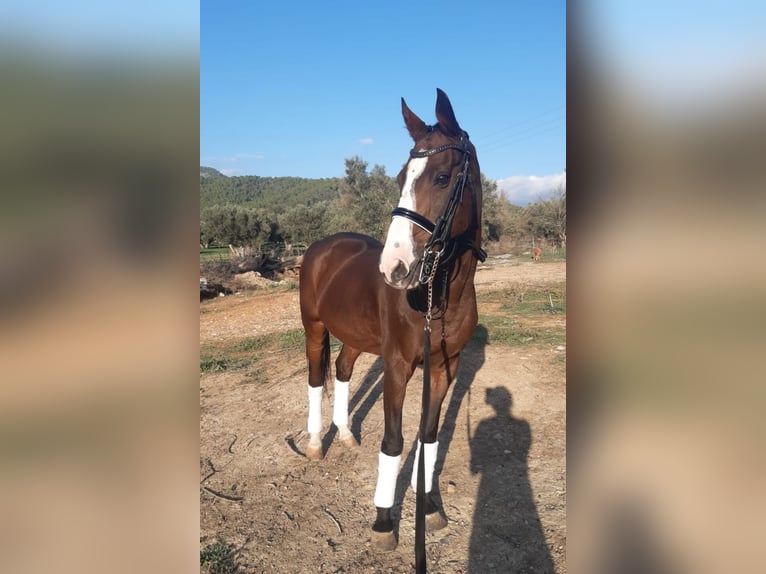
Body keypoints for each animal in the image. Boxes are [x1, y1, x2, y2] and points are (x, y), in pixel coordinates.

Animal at [299, 89, 486, 557]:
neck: (439, 295)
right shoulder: (398, 366)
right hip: (315, 329)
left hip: (355, 337)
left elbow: (429, 436)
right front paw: (384, 520)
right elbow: (395, 441)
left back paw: (346, 435)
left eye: (442, 177)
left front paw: (430, 507)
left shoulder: (445, 367)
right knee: (316, 380)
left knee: (342, 370)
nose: (394, 268)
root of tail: (323, 247)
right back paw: (316, 443)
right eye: (402, 175)